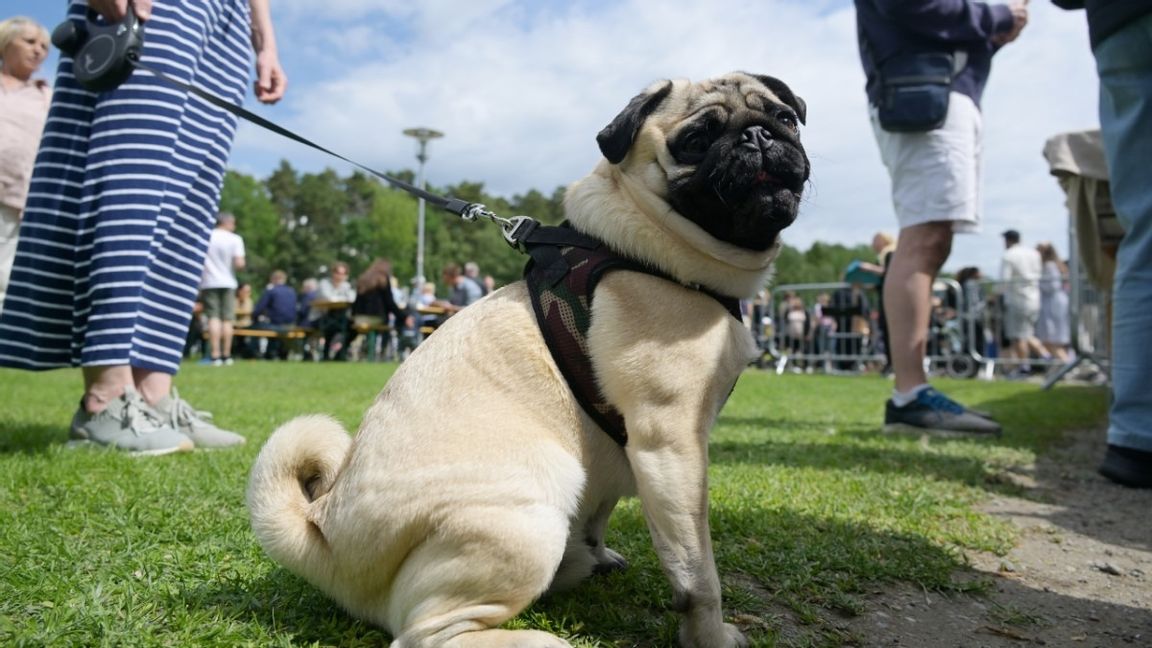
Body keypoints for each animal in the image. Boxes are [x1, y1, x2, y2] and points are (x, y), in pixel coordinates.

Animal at [249, 71, 811, 645]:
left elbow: (603, 514)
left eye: (785, 118)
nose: (758, 136)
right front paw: (711, 636)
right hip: (532, 509)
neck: (654, 245)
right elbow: (697, 576)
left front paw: (597, 552)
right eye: (696, 140)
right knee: (425, 634)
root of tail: (321, 532)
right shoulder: (672, 446)